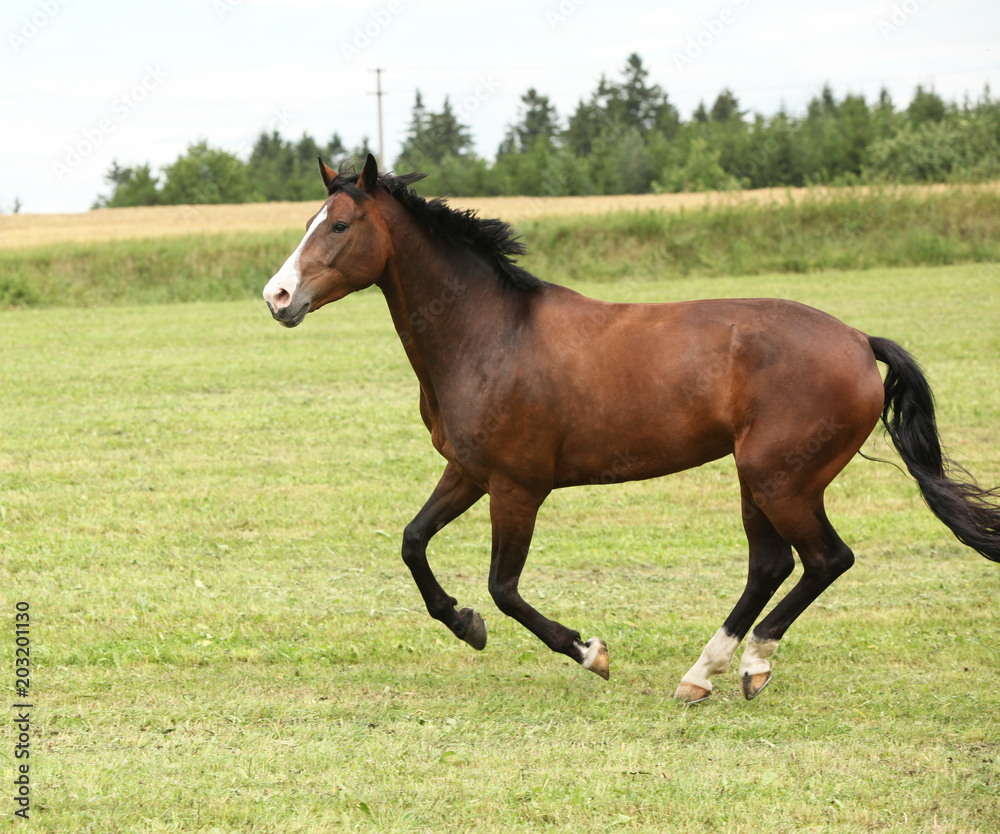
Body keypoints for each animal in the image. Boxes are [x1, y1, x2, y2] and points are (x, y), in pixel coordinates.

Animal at [262, 153, 996, 700]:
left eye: (339, 226)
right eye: (311, 221)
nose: (276, 296)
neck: (489, 334)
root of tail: (858, 341)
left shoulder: (517, 486)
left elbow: (505, 588)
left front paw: (590, 651)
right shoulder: (469, 471)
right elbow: (414, 543)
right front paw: (465, 624)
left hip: (780, 479)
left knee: (824, 560)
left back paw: (745, 664)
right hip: (756, 479)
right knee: (771, 565)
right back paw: (708, 673)